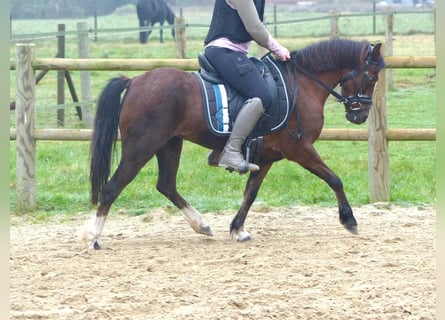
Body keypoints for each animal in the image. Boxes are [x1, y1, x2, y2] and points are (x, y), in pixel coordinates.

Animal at [83, 38, 386, 249]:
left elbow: (250, 194)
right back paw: (94, 237)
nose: (359, 115)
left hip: (169, 145)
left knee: (166, 185)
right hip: (141, 147)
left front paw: (238, 229)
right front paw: (349, 220)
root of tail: (134, 81)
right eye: (371, 77)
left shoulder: (265, 158)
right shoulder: (300, 150)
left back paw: (202, 225)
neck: (302, 85)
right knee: (112, 188)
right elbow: (334, 179)